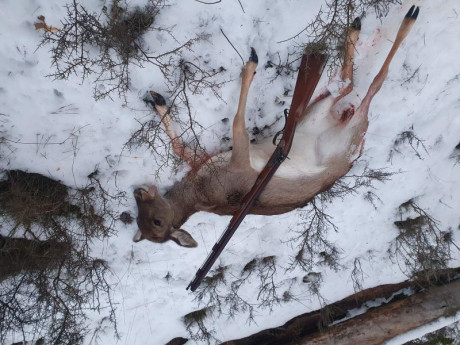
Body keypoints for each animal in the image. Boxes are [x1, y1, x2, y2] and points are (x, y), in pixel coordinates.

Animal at [133, 6, 420, 247]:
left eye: (156, 221)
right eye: (141, 218)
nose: (137, 191)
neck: (200, 188)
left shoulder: (236, 159)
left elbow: (228, 125)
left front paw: (250, 63)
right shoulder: (219, 158)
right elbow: (184, 144)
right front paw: (158, 101)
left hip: (335, 126)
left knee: (366, 84)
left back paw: (395, 19)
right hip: (326, 119)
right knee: (354, 86)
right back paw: (375, 24)